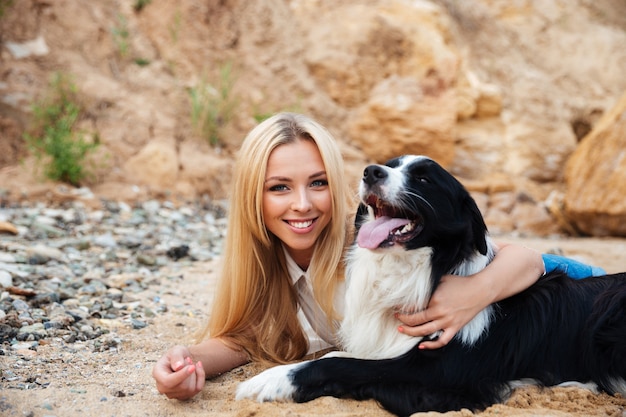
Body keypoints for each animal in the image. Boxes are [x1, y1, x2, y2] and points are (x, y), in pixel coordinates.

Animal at [235, 154, 624, 414]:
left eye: (424, 180)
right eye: (389, 165)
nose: (370, 171)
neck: (420, 270)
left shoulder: (439, 374)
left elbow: (338, 364)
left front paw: (269, 380)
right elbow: (338, 355)